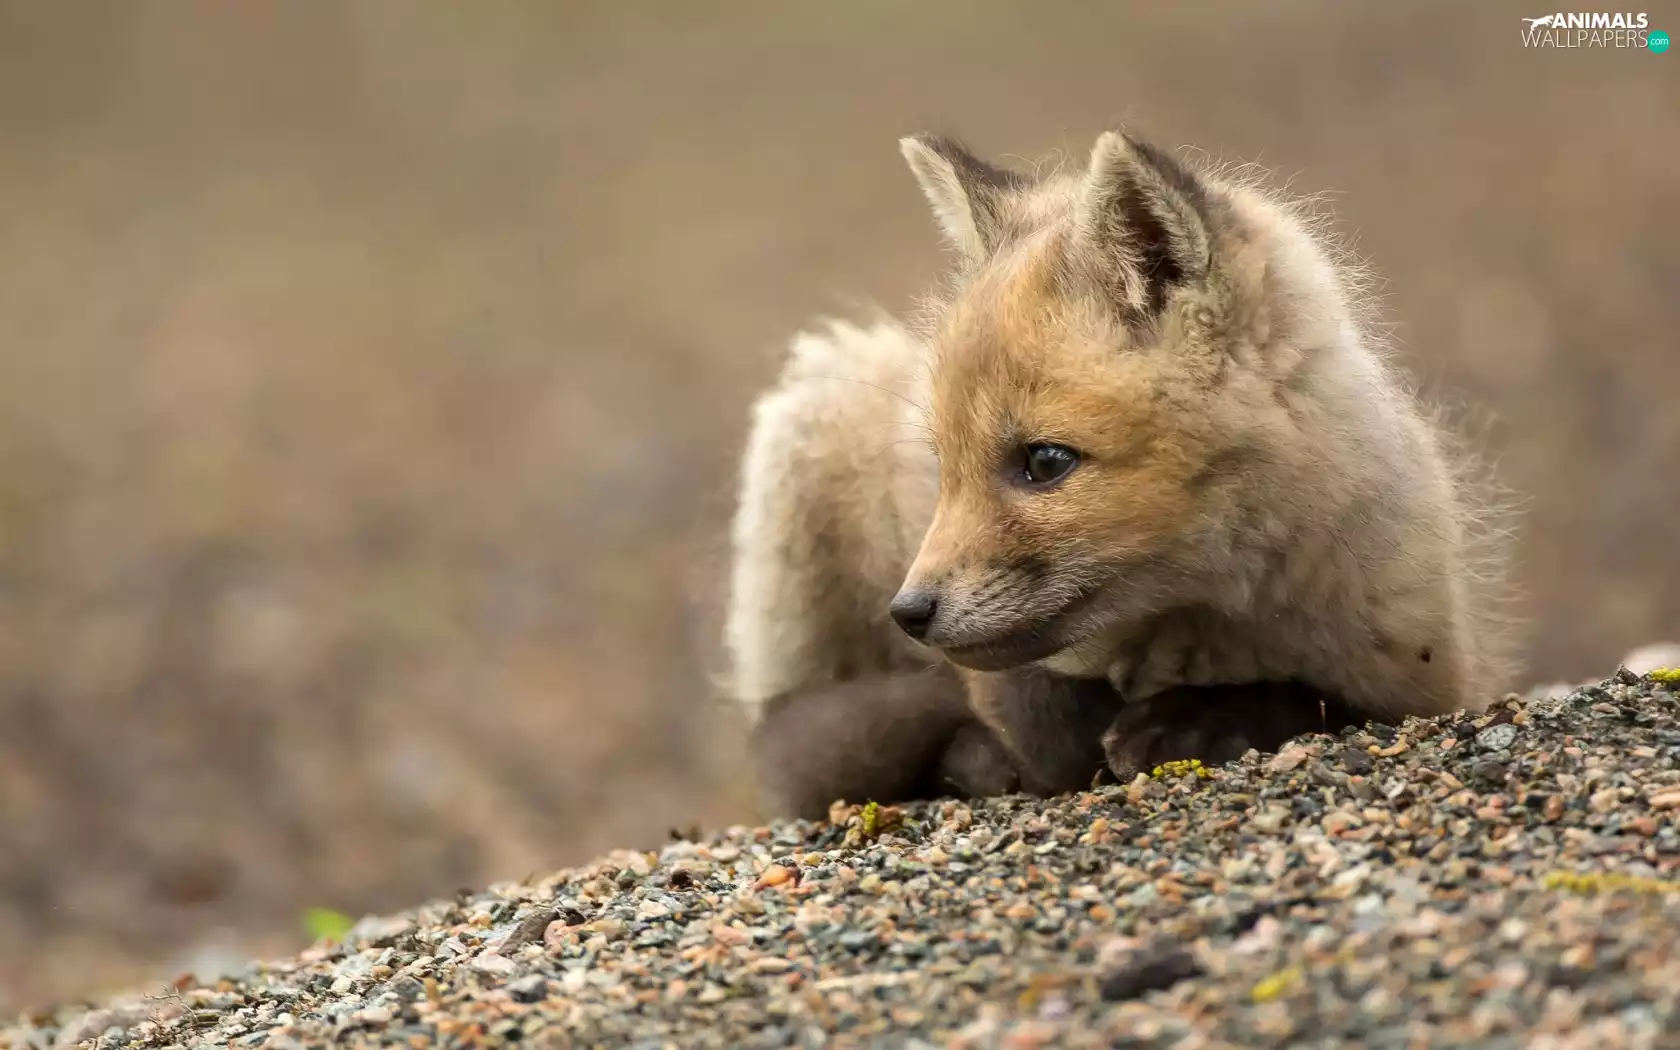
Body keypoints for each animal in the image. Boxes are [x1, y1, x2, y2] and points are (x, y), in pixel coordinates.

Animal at [726, 128, 1521, 820]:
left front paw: (1203, 721)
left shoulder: (1425, 674)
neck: (1202, 621)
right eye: (943, 465)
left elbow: (1317, 702)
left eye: (1045, 462)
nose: (909, 612)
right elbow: (1042, 729)